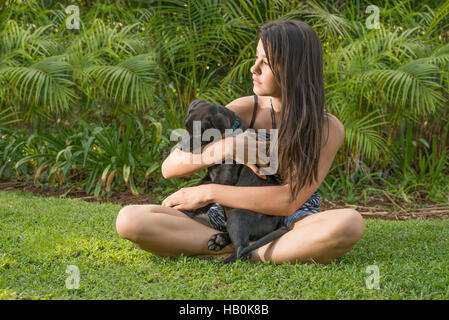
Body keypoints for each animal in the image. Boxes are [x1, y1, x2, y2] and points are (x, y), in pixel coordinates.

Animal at [175, 99, 288, 262]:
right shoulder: (210, 174)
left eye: (198, 132)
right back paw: (219, 240)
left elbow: (203, 193)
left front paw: (185, 208)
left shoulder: (225, 178)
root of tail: (280, 221)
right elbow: (199, 186)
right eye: (186, 125)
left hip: (237, 216)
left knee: (242, 251)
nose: (179, 148)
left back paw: (220, 261)